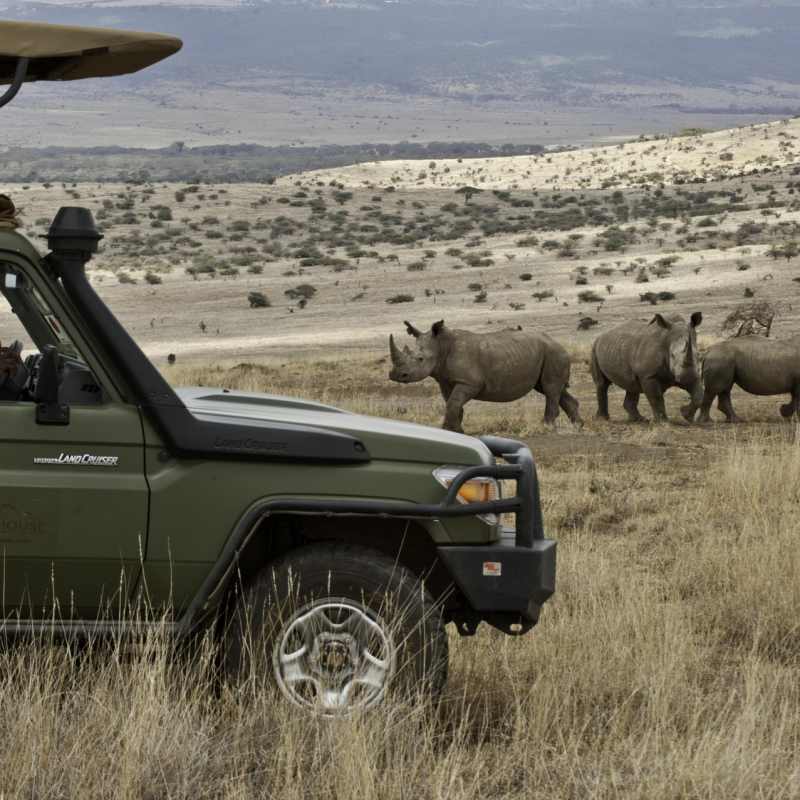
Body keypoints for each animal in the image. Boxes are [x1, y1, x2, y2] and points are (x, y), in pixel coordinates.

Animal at [388, 319, 582, 432]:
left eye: (420, 359)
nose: (395, 375)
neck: (441, 346)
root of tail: (558, 343)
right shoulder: (445, 380)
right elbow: (453, 403)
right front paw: (455, 431)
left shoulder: (470, 383)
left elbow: (453, 403)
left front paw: (450, 430)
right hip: (547, 353)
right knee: (551, 389)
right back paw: (578, 426)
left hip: (554, 353)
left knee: (550, 389)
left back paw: (546, 427)